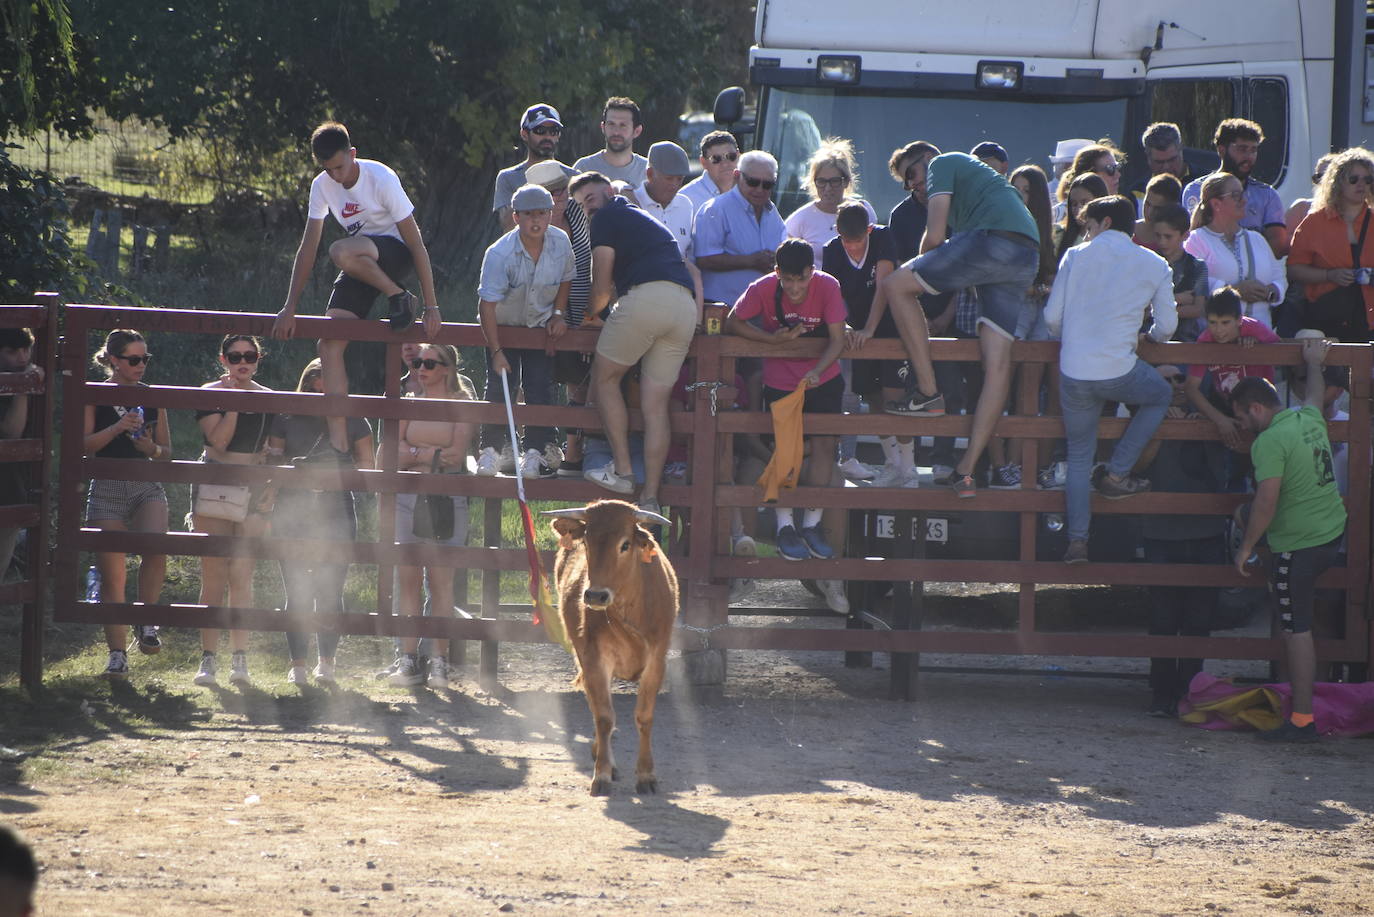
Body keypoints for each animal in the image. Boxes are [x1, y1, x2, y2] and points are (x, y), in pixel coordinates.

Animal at [544, 503, 678, 797]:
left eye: (625, 544)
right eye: (586, 542)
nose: (595, 595)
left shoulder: (657, 661)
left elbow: (644, 717)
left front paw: (646, 775)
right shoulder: (594, 658)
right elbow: (604, 717)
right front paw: (602, 774)